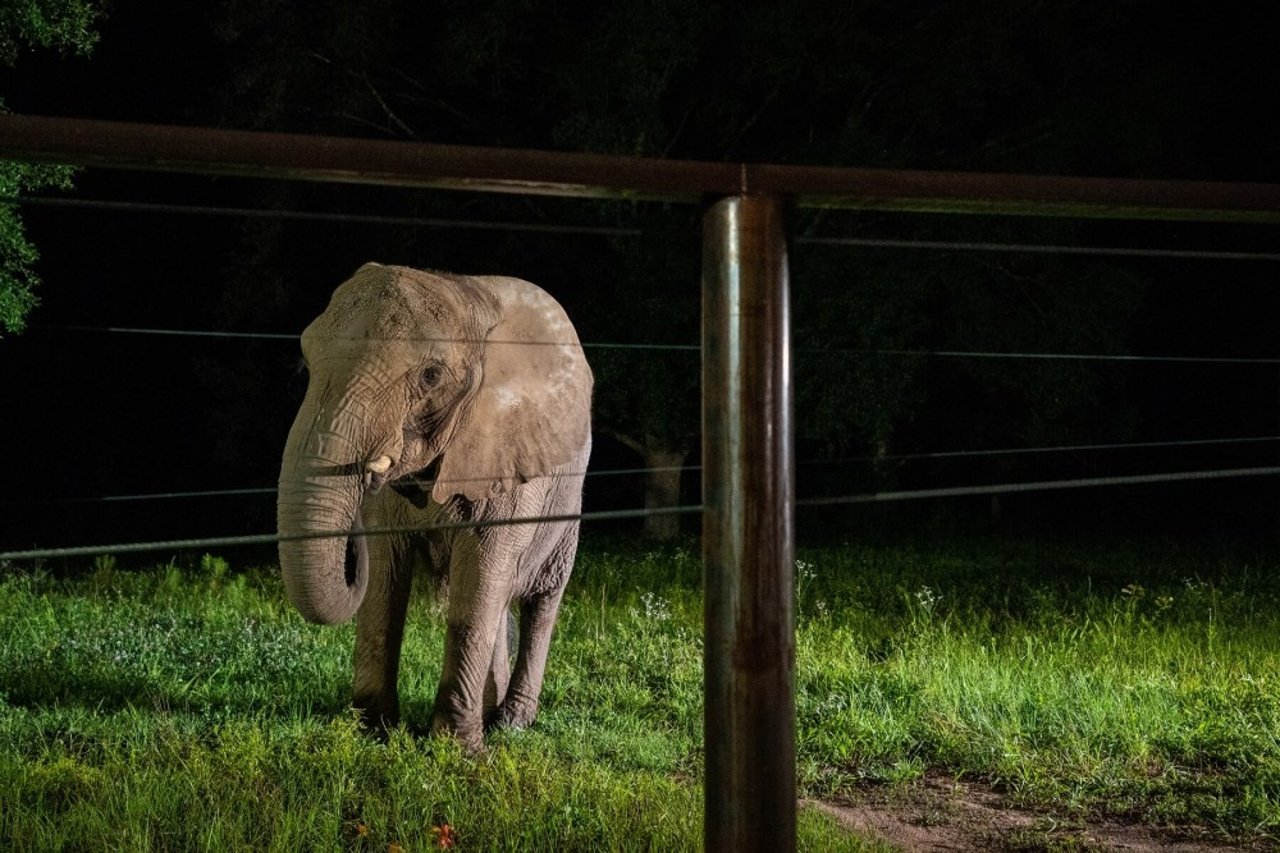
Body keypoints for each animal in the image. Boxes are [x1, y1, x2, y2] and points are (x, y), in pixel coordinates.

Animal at [277, 262, 591, 747]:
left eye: (430, 376)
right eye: (306, 361)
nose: (364, 473)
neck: (467, 297)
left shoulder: (506, 450)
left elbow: (480, 570)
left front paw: (457, 749)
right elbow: (386, 574)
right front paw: (373, 732)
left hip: (568, 501)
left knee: (540, 597)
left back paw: (511, 723)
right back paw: (490, 713)